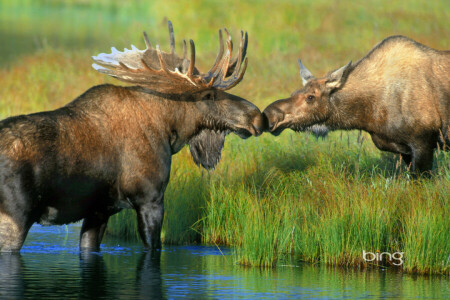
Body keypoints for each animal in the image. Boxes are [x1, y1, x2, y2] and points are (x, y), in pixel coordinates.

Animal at [0, 20, 264, 251]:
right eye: (210, 96)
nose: (257, 117)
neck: (169, 132)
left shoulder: (99, 210)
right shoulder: (150, 198)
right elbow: (154, 248)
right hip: (16, 215)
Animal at [264, 35, 450, 175]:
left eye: (310, 97)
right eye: (294, 92)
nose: (270, 114)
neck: (368, 115)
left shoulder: (423, 142)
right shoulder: (404, 150)